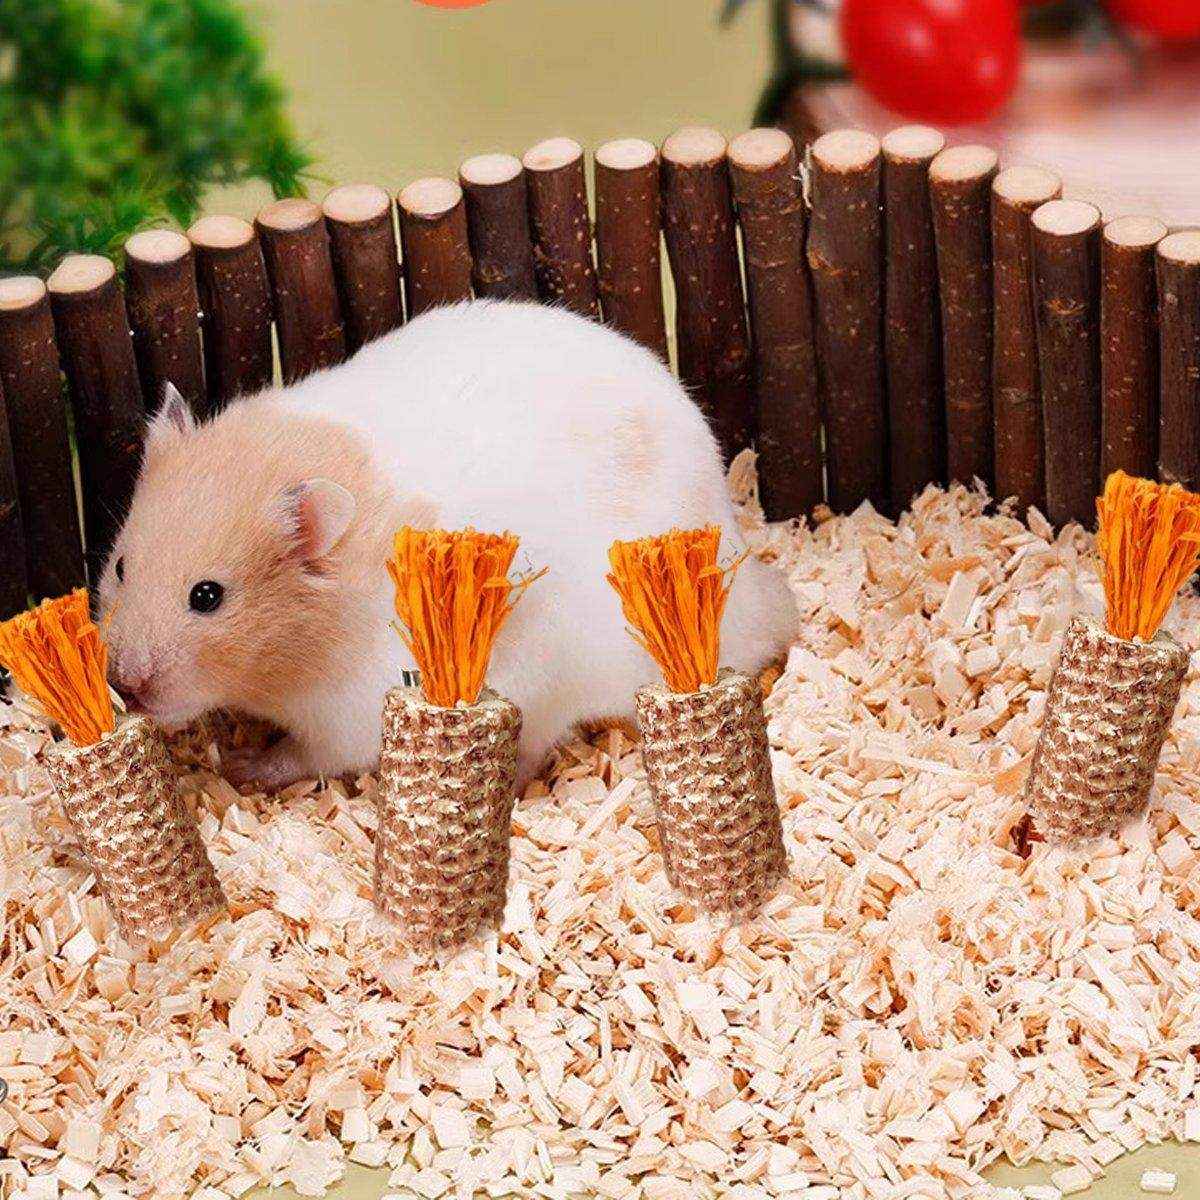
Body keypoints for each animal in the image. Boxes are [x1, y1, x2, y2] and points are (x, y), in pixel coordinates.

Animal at [97, 300, 796, 788]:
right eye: (121, 565)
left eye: (207, 597)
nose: (123, 683)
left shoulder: (351, 713)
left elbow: (303, 756)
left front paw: (238, 767)